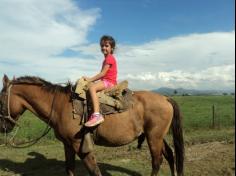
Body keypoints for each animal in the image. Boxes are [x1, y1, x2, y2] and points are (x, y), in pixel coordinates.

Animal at [0, 74, 184, 176]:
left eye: (0, 99)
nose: (3, 127)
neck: (59, 106)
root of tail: (165, 98)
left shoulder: (80, 145)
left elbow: (94, 171)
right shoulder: (68, 145)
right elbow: (69, 168)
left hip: (154, 137)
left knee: (157, 161)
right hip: (157, 136)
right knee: (169, 155)